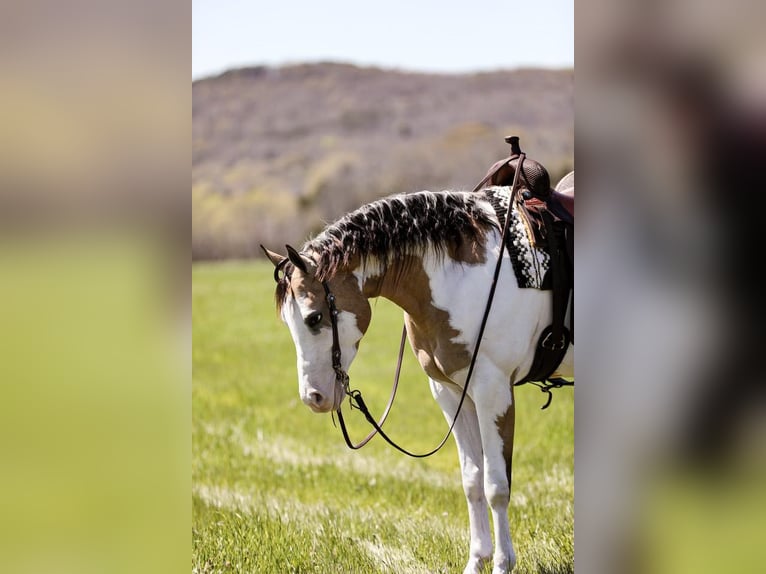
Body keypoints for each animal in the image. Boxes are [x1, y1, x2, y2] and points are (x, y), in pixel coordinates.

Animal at [260, 187, 572, 572]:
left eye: (315, 317)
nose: (313, 398)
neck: (462, 277)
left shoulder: (492, 390)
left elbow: (496, 485)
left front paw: (502, 563)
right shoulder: (451, 392)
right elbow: (472, 480)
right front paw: (477, 560)